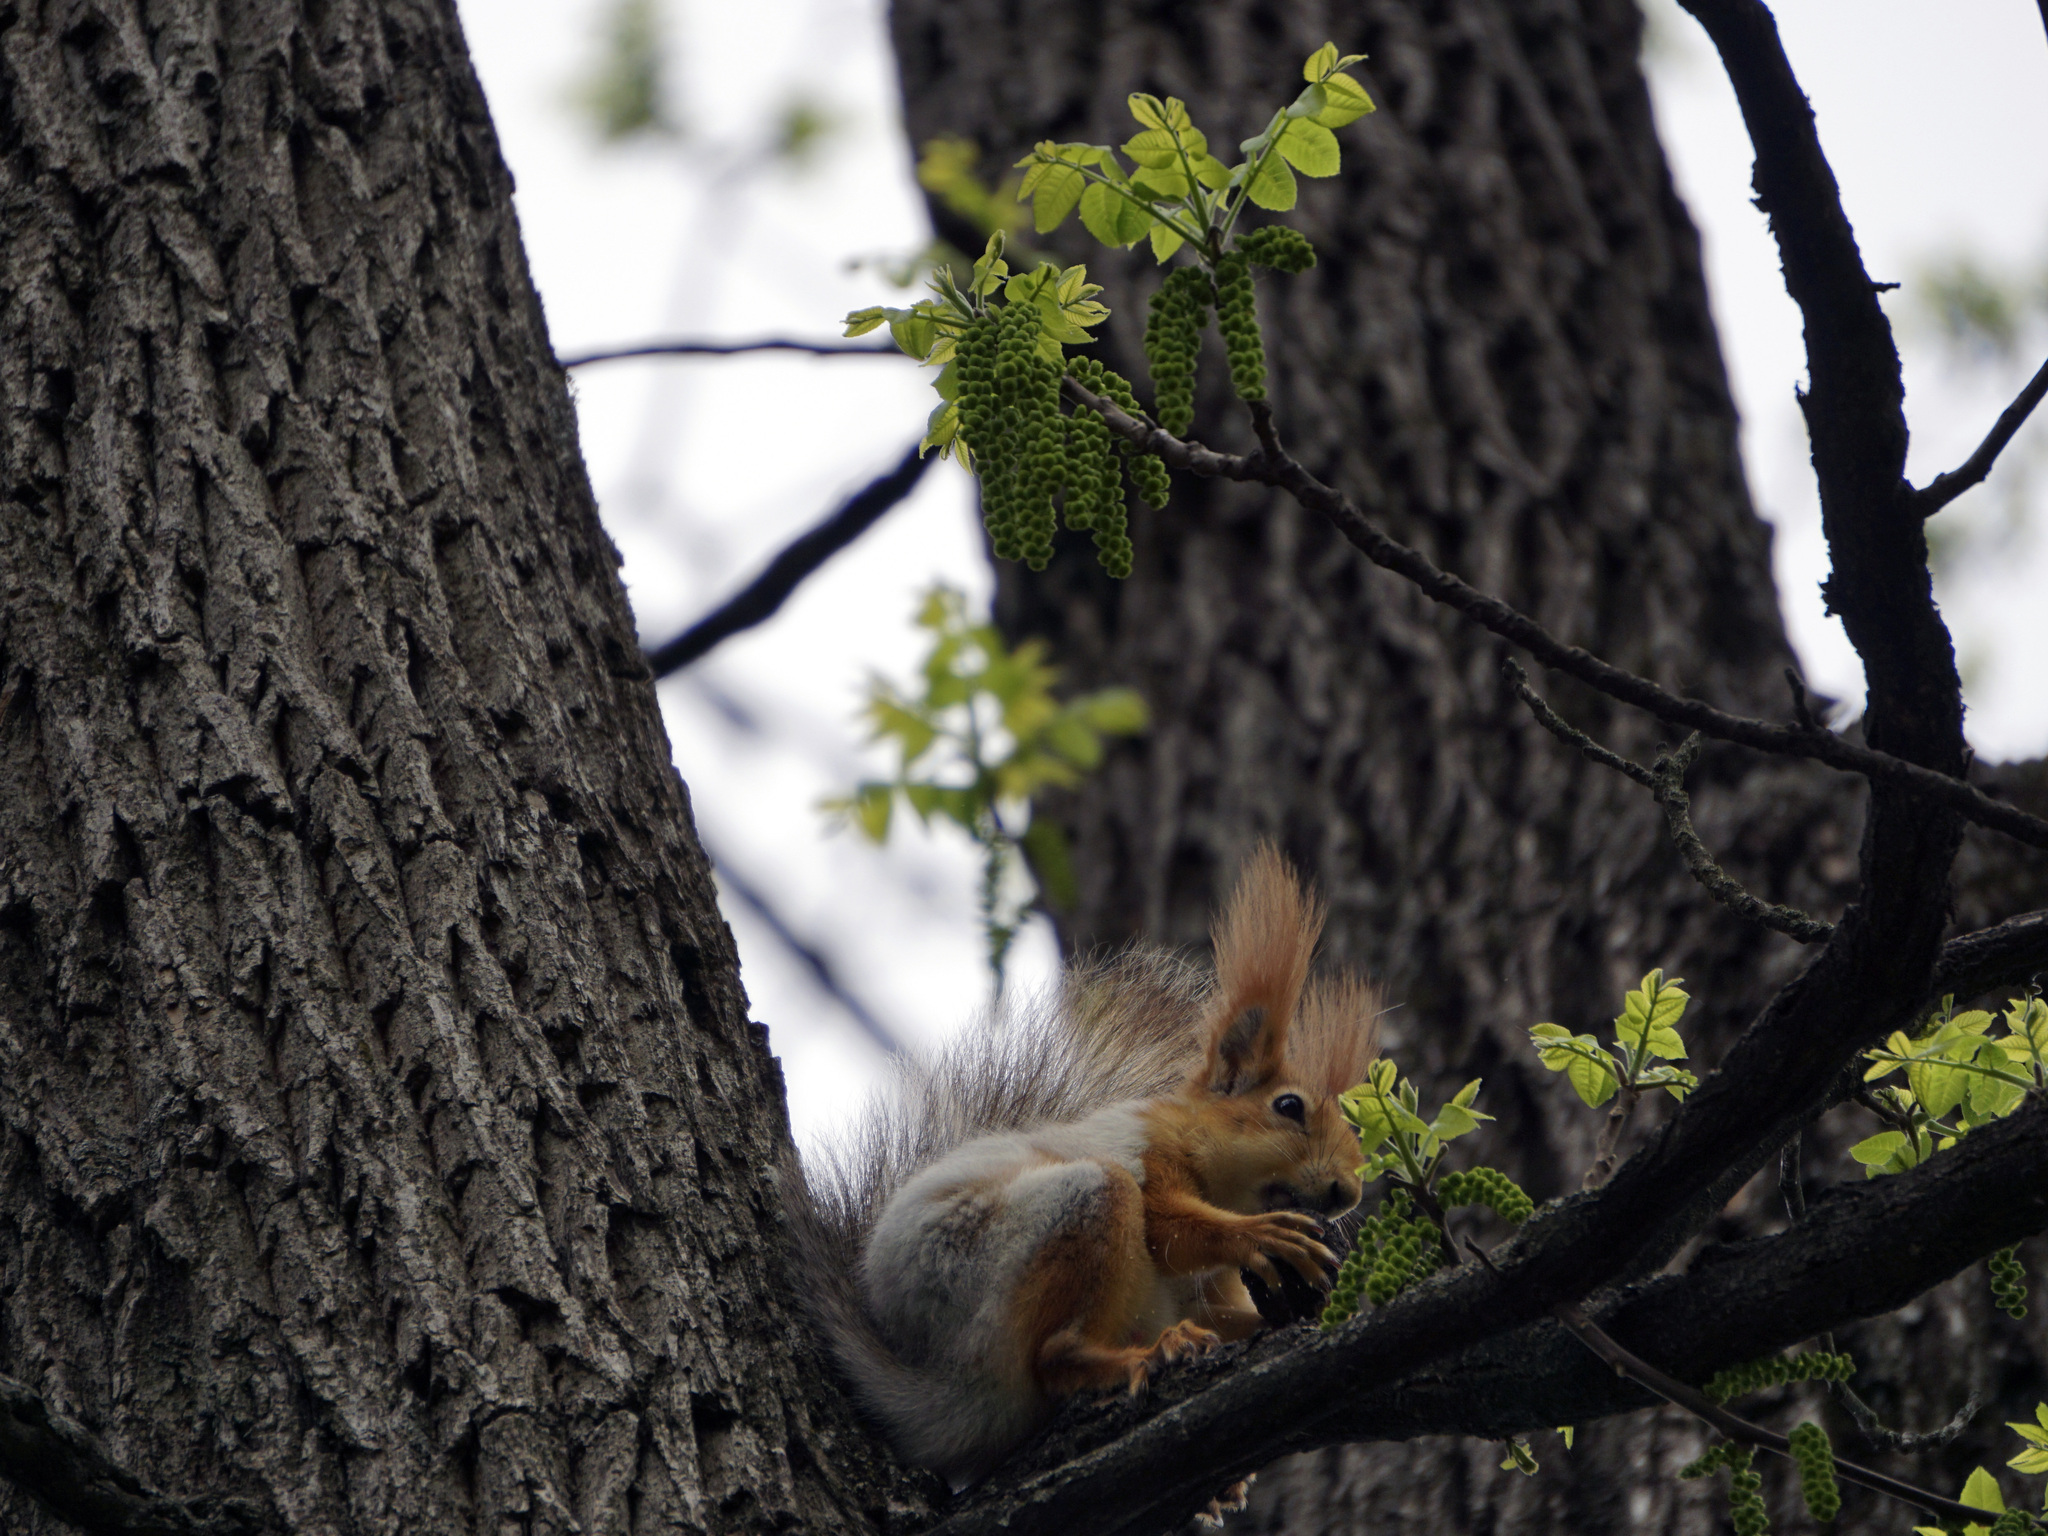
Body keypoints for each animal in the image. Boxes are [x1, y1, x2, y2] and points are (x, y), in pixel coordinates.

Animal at [790, 847, 1384, 1482]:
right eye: (1289, 1107)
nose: (1347, 1192)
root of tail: (947, 1391)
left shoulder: (1202, 1293)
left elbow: (1218, 1308)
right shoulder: (1146, 1152)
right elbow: (1169, 1225)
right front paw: (1262, 1234)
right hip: (1040, 1224)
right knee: (1054, 1356)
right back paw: (1141, 1355)